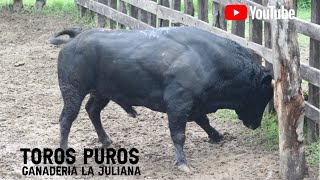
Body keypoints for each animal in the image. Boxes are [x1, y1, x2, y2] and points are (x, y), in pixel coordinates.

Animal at [49, 26, 272, 172]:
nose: (256, 124)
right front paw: (183, 163)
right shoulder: (179, 104)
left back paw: (106, 140)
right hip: (73, 92)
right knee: (66, 119)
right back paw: (65, 153)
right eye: (262, 96)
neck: (208, 60)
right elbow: (179, 134)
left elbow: (204, 121)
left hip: (102, 93)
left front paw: (217, 136)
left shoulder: (194, 104)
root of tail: (78, 36)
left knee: (92, 110)